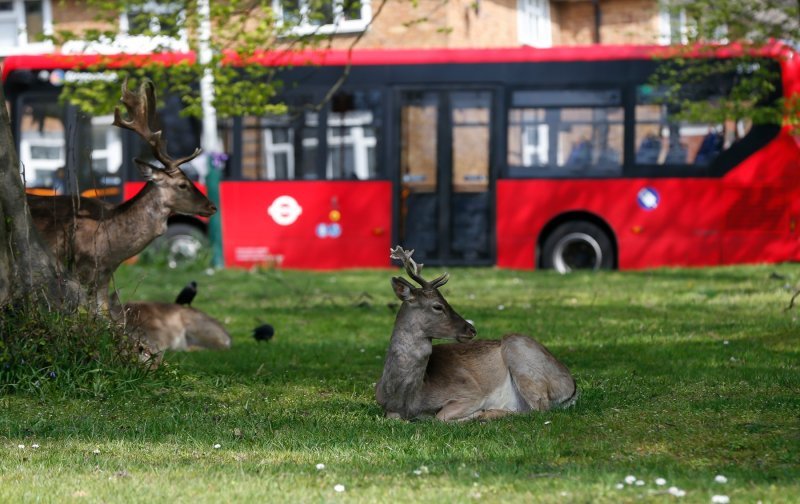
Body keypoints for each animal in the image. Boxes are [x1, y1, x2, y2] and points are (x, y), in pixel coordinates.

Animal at [26, 79, 217, 314]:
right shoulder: (80, 268)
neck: (110, 244)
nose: (211, 206)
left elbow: (104, 313)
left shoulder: (105, 274)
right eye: (182, 184)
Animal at [376, 247, 576, 422]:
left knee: (539, 408)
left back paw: (489, 414)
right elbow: (392, 417)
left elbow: (440, 417)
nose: (471, 329)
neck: (408, 398)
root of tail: (572, 387)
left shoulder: (471, 392)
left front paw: (478, 414)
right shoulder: (384, 405)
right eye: (438, 306)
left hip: (521, 356)